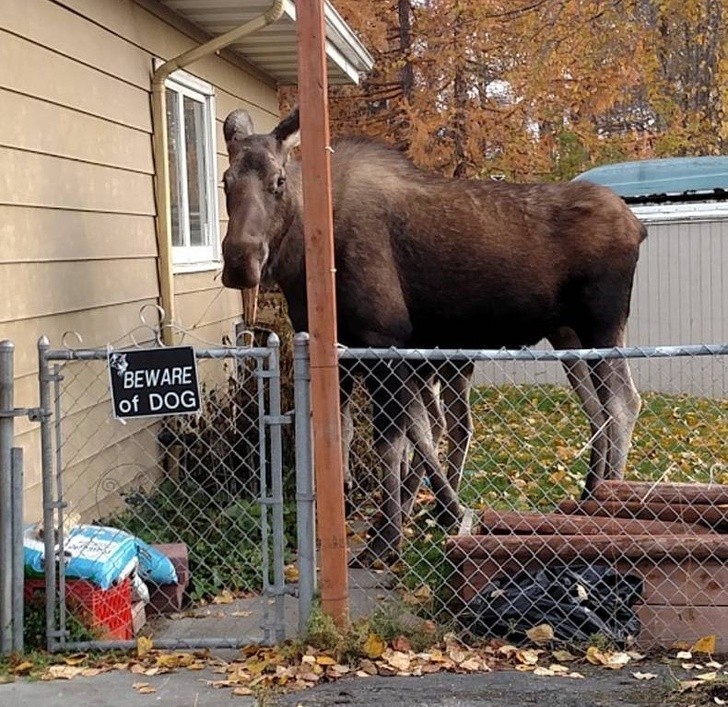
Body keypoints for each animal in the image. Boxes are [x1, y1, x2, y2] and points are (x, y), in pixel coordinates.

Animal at [219, 105, 644, 560]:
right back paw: (587, 496)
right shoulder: (346, 353)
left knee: (622, 403)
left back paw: (607, 503)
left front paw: (388, 537)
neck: (304, 260)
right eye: (225, 181)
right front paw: (384, 509)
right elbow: (355, 432)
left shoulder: (383, 340)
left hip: (602, 326)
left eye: (279, 180)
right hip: (568, 337)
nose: (240, 261)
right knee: (596, 411)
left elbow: (394, 440)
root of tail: (638, 227)